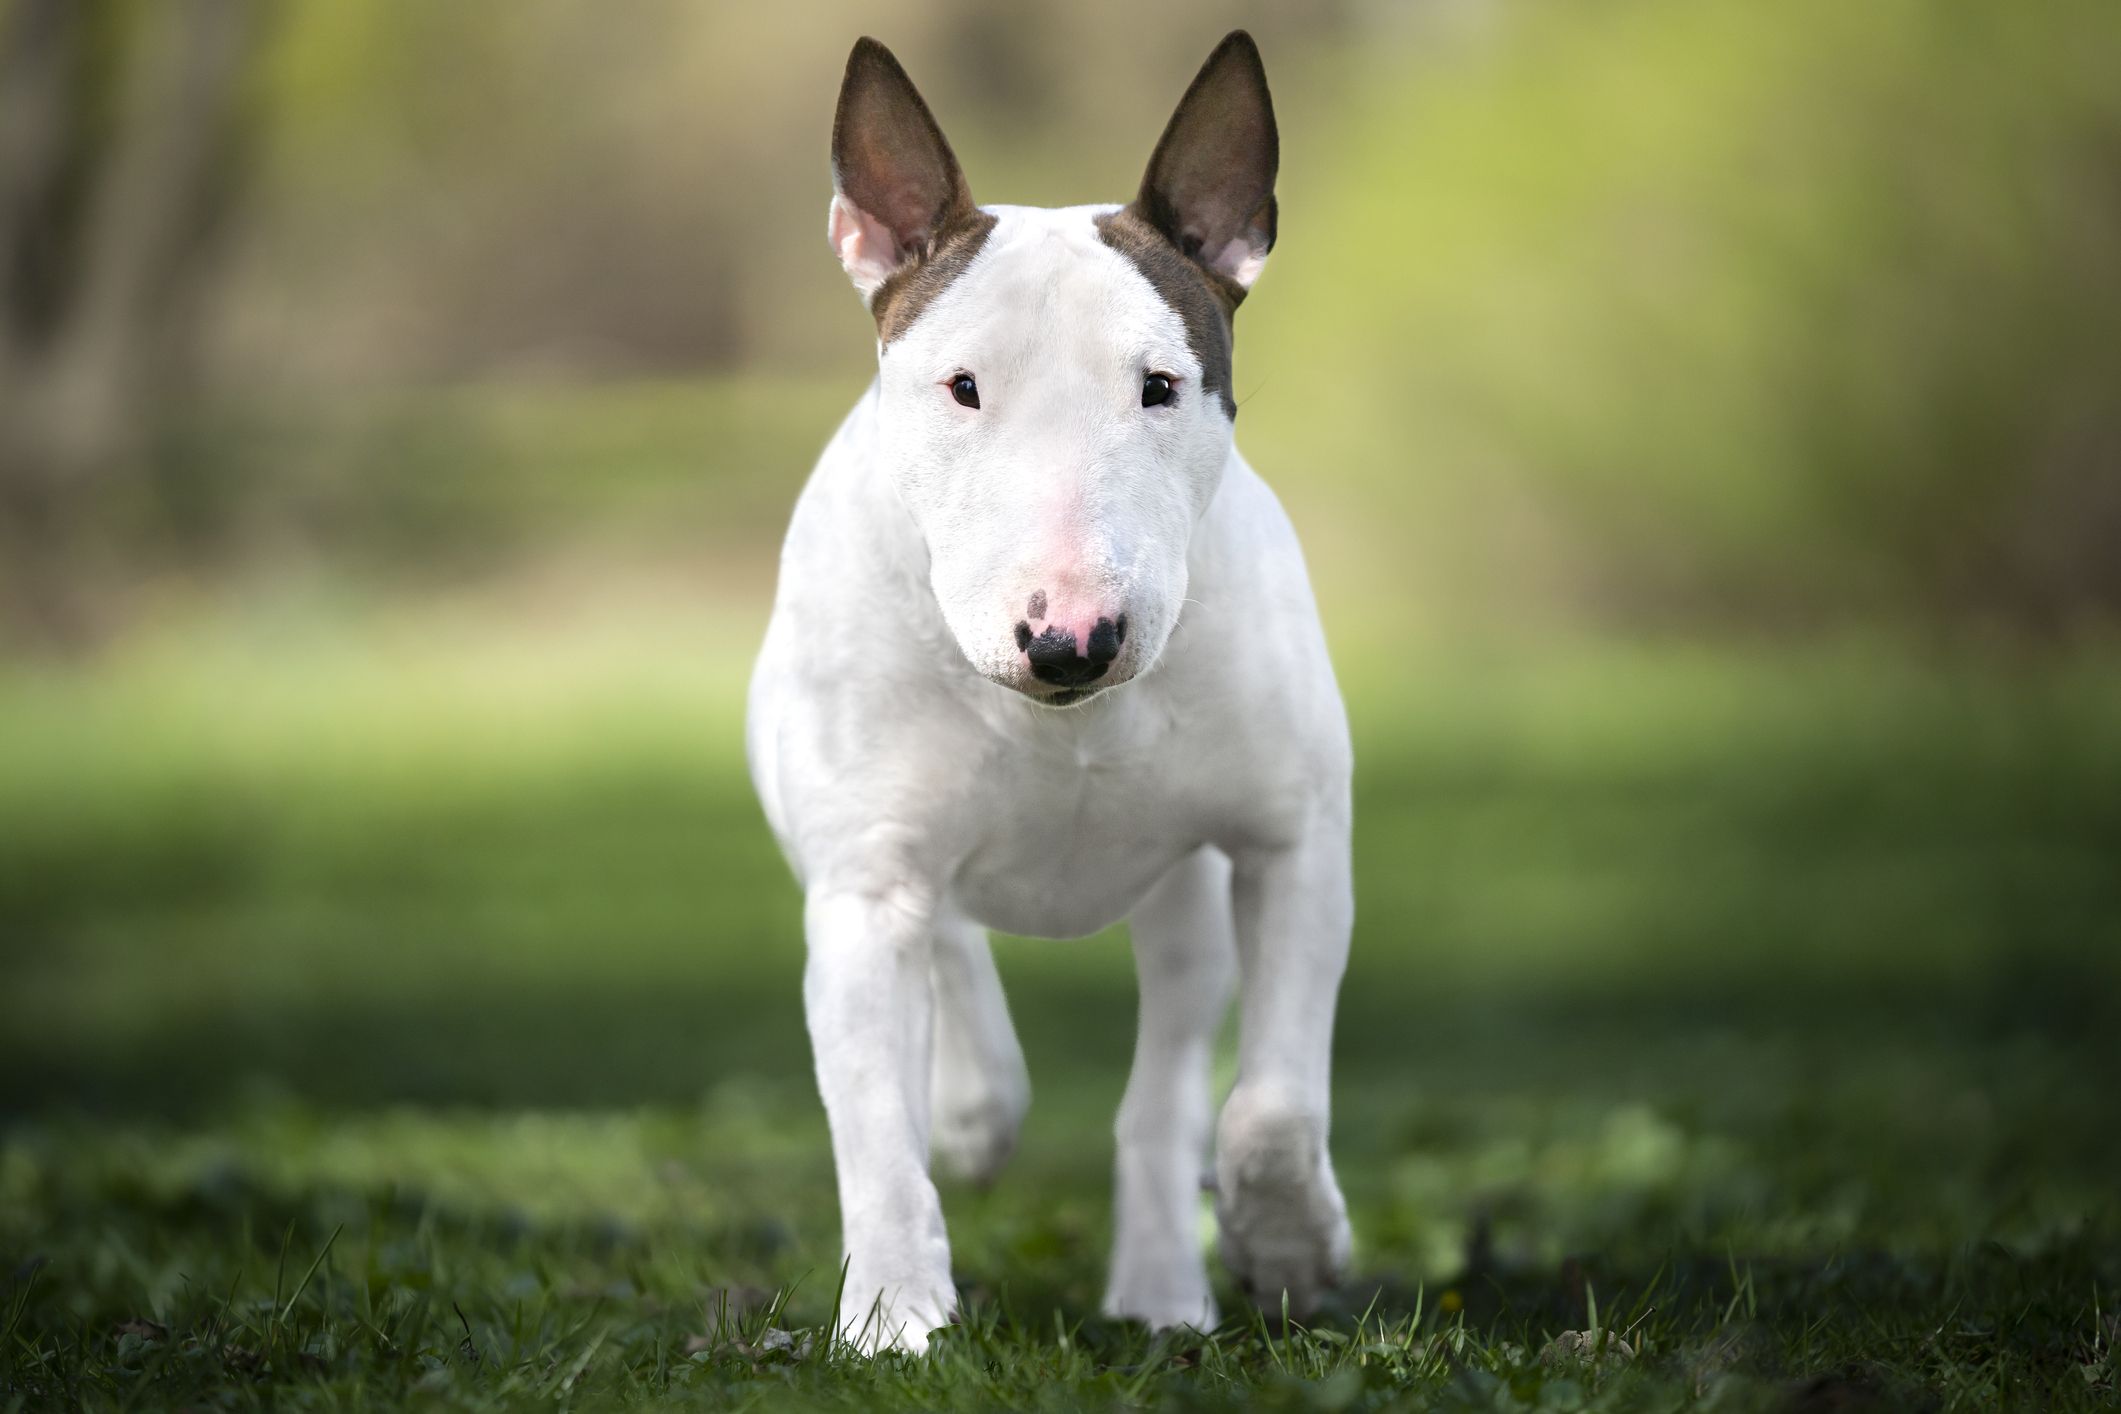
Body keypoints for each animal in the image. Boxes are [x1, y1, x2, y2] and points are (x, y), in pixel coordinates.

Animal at [746, 33, 1348, 1356]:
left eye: (1161, 386)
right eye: (963, 386)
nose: (1073, 638)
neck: (1060, 722)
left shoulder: (1291, 842)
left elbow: (1273, 1107)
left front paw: (1290, 1247)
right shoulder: (861, 885)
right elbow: (876, 1132)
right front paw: (894, 1317)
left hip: (1184, 901)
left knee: (1167, 1084)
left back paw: (1163, 1283)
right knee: (953, 955)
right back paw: (977, 1108)